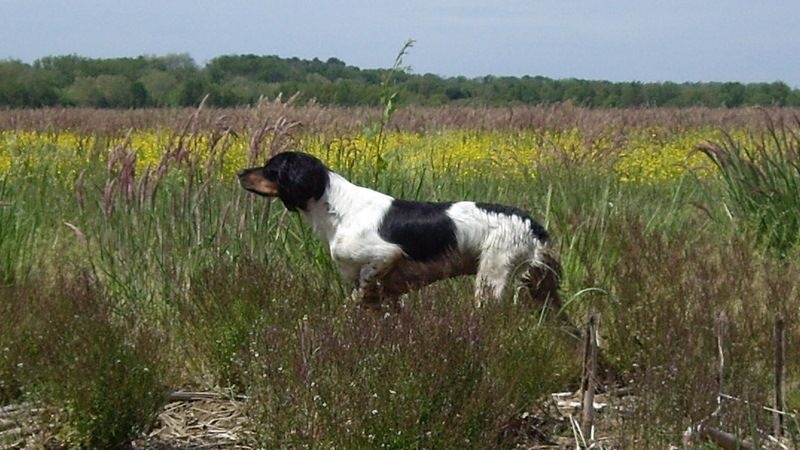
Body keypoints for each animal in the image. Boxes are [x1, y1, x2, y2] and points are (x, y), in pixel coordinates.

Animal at [239, 150, 564, 310]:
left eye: (270, 168)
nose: (240, 172)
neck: (336, 208)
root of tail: (534, 225)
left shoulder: (384, 257)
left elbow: (354, 299)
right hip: (542, 290)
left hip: (492, 278)